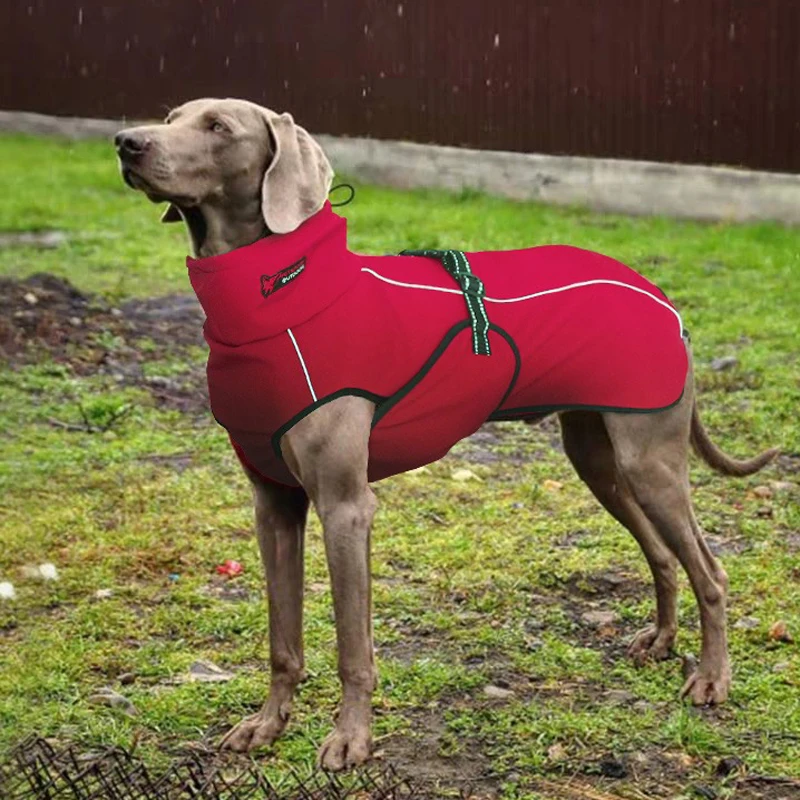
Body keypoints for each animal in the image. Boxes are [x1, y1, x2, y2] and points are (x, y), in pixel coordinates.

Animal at [115, 98, 780, 768]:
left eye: (218, 127)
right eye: (172, 117)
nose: (125, 142)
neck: (280, 301)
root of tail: (661, 294)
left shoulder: (345, 507)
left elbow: (352, 647)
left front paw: (351, 738)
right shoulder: (274, 505)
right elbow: (284, 640)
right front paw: (268, 725)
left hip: (650, 463)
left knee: (711, 572)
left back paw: (712, 679)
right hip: (600, 460)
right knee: (663, 555)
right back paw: (664, 641)